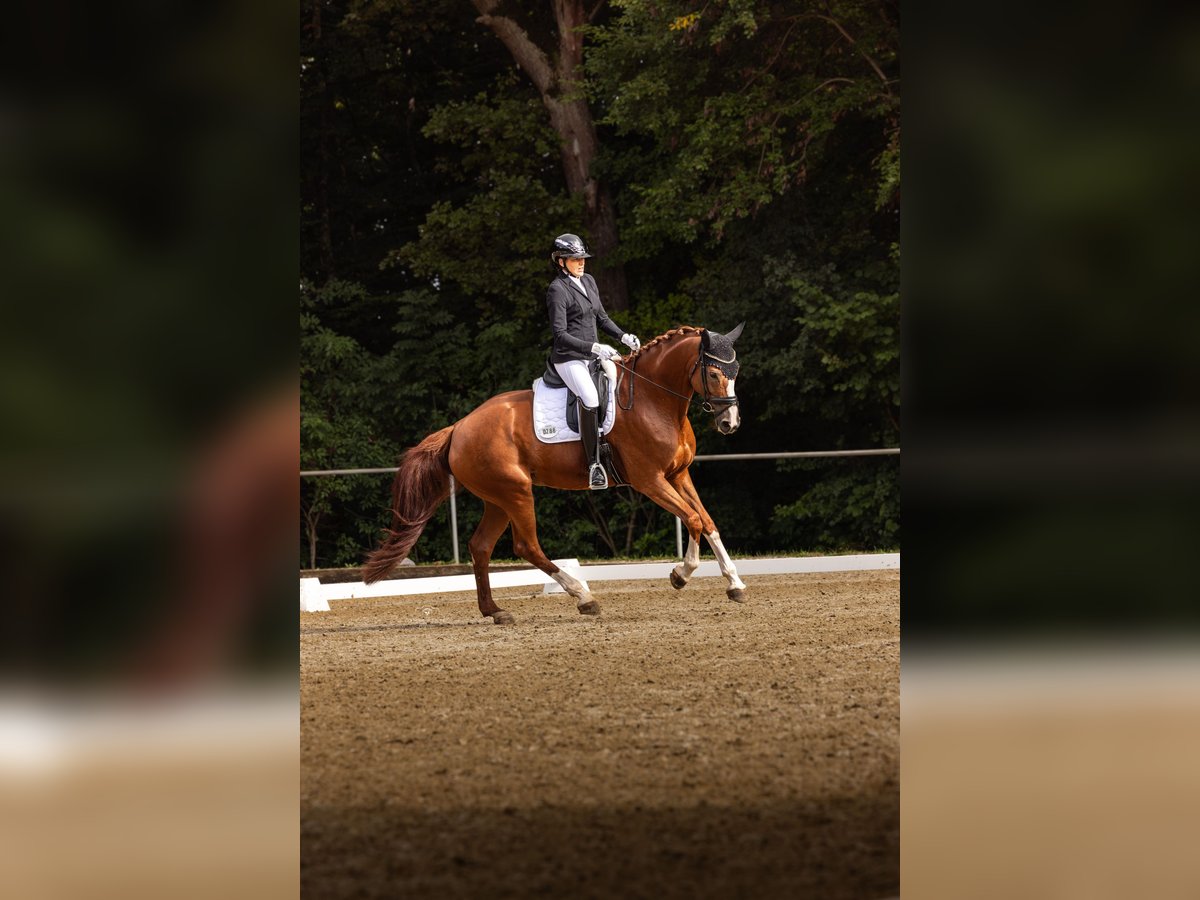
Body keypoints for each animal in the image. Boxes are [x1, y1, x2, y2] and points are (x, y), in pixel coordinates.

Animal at [362, 324, 747, 624]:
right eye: (714, 374)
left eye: (736, 371)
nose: (730, 423)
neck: (653, 399)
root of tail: (459, 427)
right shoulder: (650, 481)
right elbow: (692, 520)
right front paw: (680, 575)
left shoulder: (679, 475)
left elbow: (707, 521)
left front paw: (735, 584)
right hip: (516, 492)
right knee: (526, 545)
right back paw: (583, 596)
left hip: (498, 499)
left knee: (481, 546)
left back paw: (495, 611)